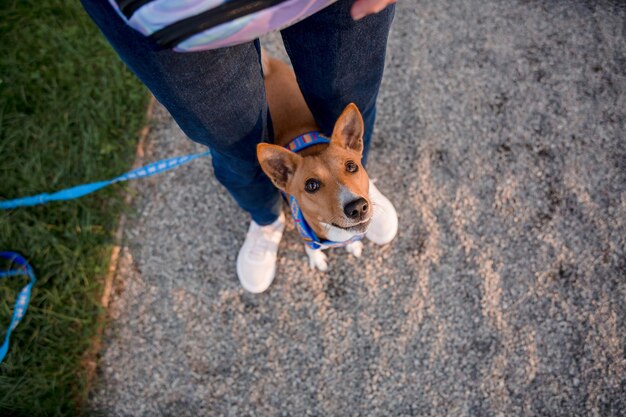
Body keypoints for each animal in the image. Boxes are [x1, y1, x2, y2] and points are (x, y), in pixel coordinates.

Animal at [258, 52, 370, 270]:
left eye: (351, 166)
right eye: (311, 185)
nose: (357, 207)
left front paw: (353, 245)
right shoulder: (306, 235)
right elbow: (311, 247)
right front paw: (317, 259)